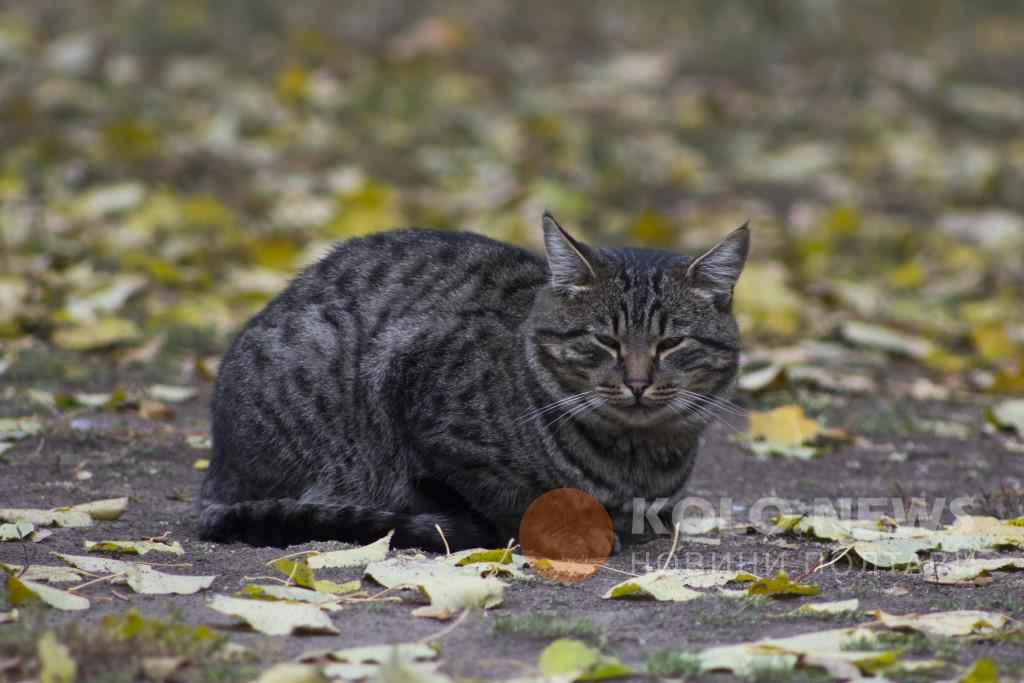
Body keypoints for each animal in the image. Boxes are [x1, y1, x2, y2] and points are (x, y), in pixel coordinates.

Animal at [195, 214, 749, 557]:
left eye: (670, 343)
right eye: (605, 340)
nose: (637, 382)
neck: (637, 460)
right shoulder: (424, 396)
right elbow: (513, 495)